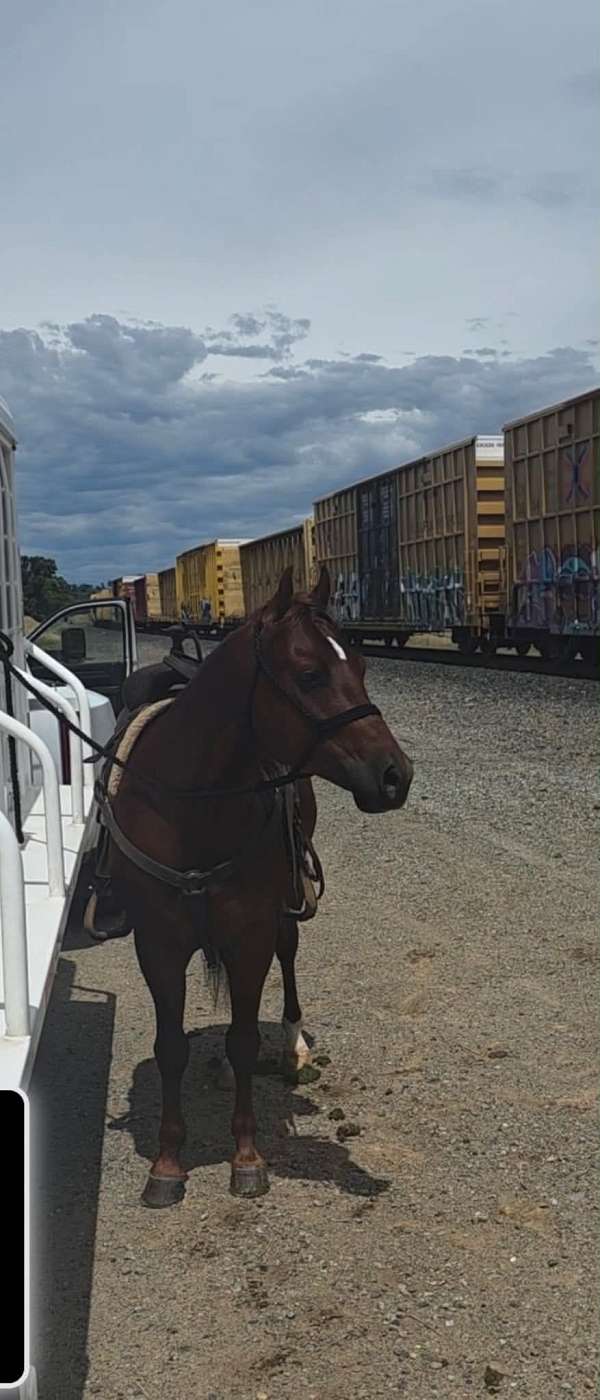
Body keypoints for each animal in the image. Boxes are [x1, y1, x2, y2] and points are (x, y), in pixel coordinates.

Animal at [100, 565, 414, 1207]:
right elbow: (170, 1048)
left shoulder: (250, 933)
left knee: (288, 957)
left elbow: (246, 1041)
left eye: (362, 666)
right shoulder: (157, 944)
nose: (396, 776)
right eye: (310, 673)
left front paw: (246, 1157)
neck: (192, 802)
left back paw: (292, 1043)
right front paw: (166, 1164)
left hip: (285, 904)